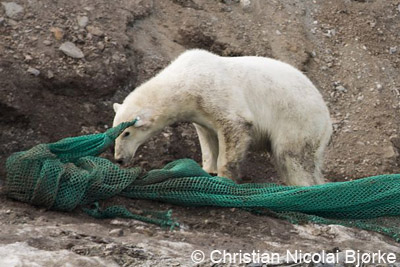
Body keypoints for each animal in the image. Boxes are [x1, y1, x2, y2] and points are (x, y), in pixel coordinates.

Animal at [111, 49, 332, 186]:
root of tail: (327, 118)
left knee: (292, 157)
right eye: (116, 133)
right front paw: (208, 170)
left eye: (127, 133)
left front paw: (224, 177)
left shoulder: (215, 91)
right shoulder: (200, 112)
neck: (185, 80)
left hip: (299, 120)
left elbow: (236, 125)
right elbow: (208, 138)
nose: (119, 159)